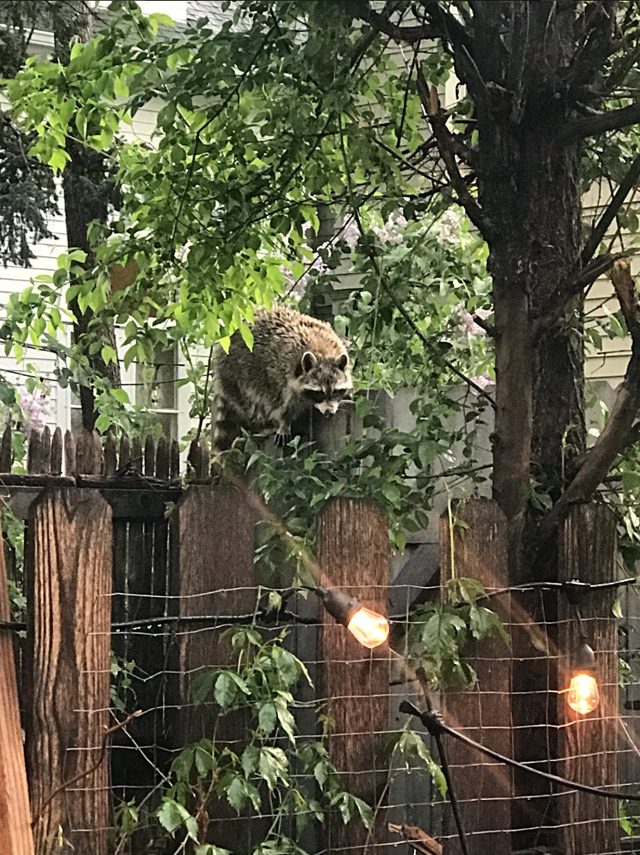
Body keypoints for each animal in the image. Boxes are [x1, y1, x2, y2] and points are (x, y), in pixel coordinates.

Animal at [213, 306, 352, 450]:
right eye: (319, 393)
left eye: (335, 391)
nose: (329, 412)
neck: (323, 353)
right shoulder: (277, 372)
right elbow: (280, 401)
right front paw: (284, 421)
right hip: (234, 370)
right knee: (247, 399)